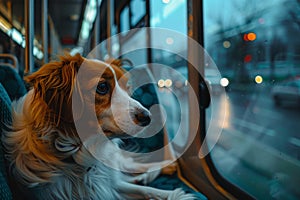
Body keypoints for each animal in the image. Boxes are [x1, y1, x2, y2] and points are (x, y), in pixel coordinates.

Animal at [3, 54, 196, 199]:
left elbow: (148, 191)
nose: (147, 117)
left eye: (127, 89)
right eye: (102, 87)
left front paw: (175, 195)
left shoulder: (110, 185)